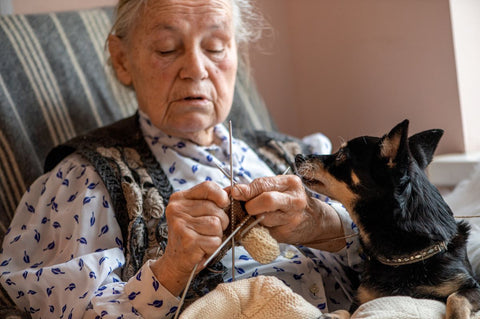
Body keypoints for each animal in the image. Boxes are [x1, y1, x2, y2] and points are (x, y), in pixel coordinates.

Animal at [296, 120, 480, 319]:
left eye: (341, 155)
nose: (298, 156)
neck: (406, 256)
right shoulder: (362, 301)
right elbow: (347, 311)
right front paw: (332, 314)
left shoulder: (472, 286)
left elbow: (455, 298)